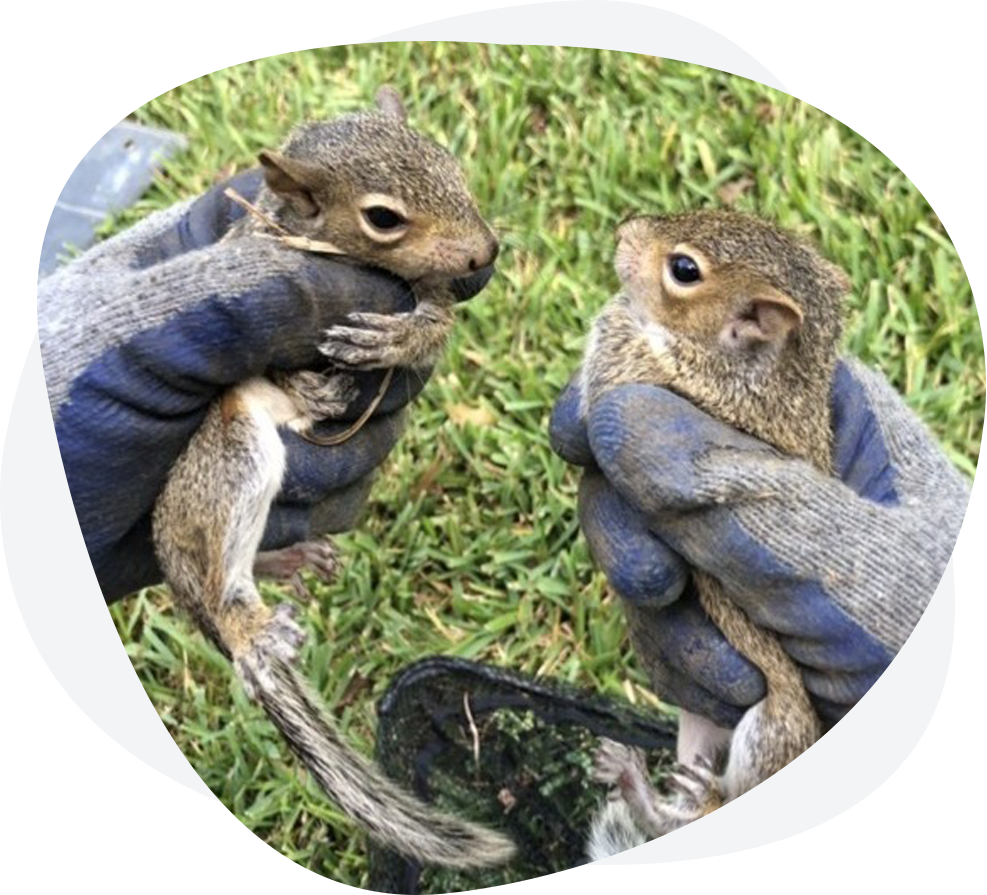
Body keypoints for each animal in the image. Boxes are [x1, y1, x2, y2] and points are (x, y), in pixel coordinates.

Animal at [151, 88, 514, 869]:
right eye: (383, 218)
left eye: (452, 166)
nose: (485, 253)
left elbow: (434, 325)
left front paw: (400, 337)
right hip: (228, 455)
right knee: (216, 572)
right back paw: (248, 630)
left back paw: (288, 559)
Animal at [577, 210, 850, 895]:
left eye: (684, 269)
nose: (623, 232)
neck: (767, 378)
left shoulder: (644, 371)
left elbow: (615, 346)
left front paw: (620, 308)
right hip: (698, 726)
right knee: (689, 817)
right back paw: (636, 782)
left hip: (771, 733)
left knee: (722, 805)